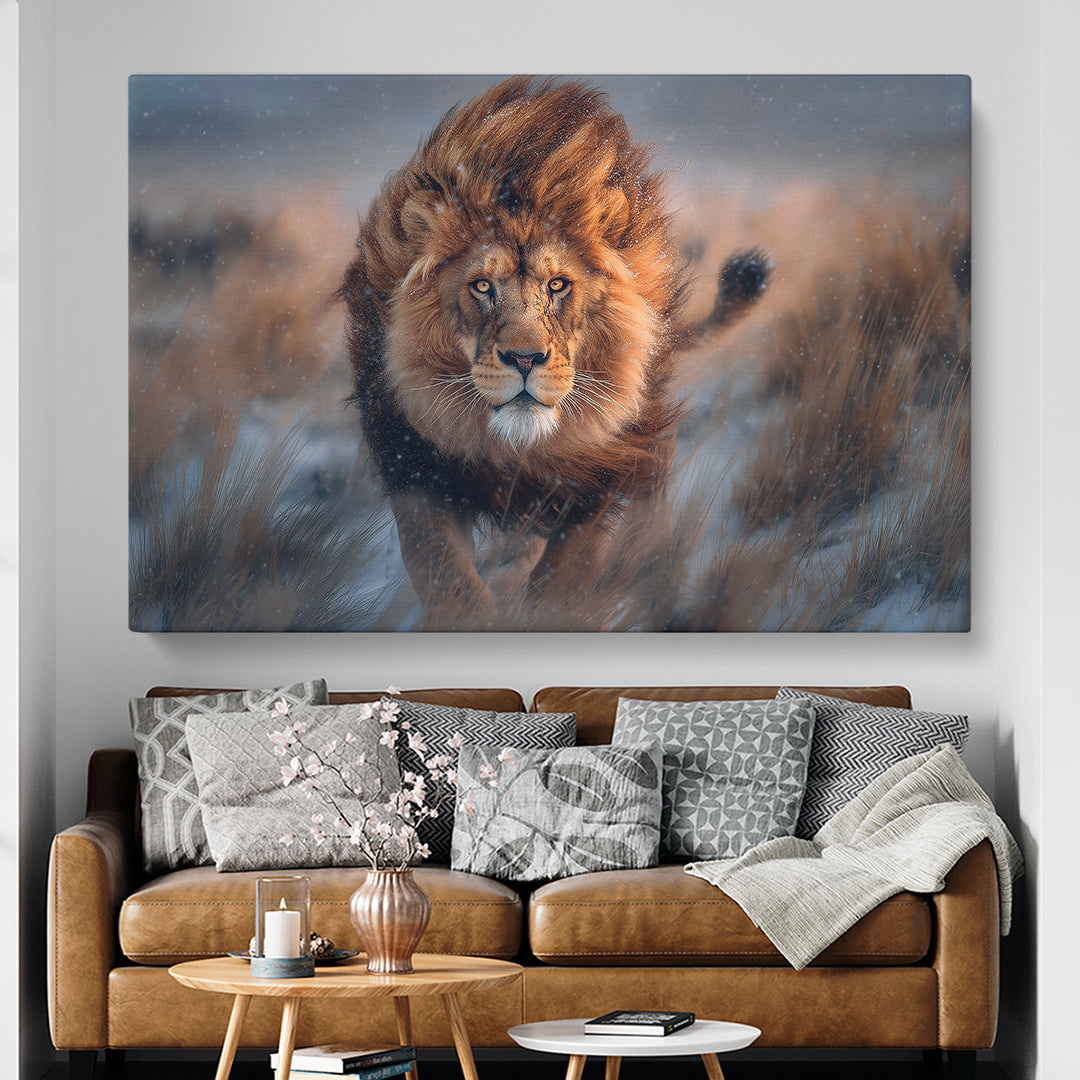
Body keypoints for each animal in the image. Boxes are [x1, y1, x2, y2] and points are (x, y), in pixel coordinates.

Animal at [340, 77, 769, 628]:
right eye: (482, 286)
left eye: (558, 284)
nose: (525, 360)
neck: (519, 450)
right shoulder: (417, 468)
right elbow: (447, 579)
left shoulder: (600, 483)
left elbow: (562, 581)